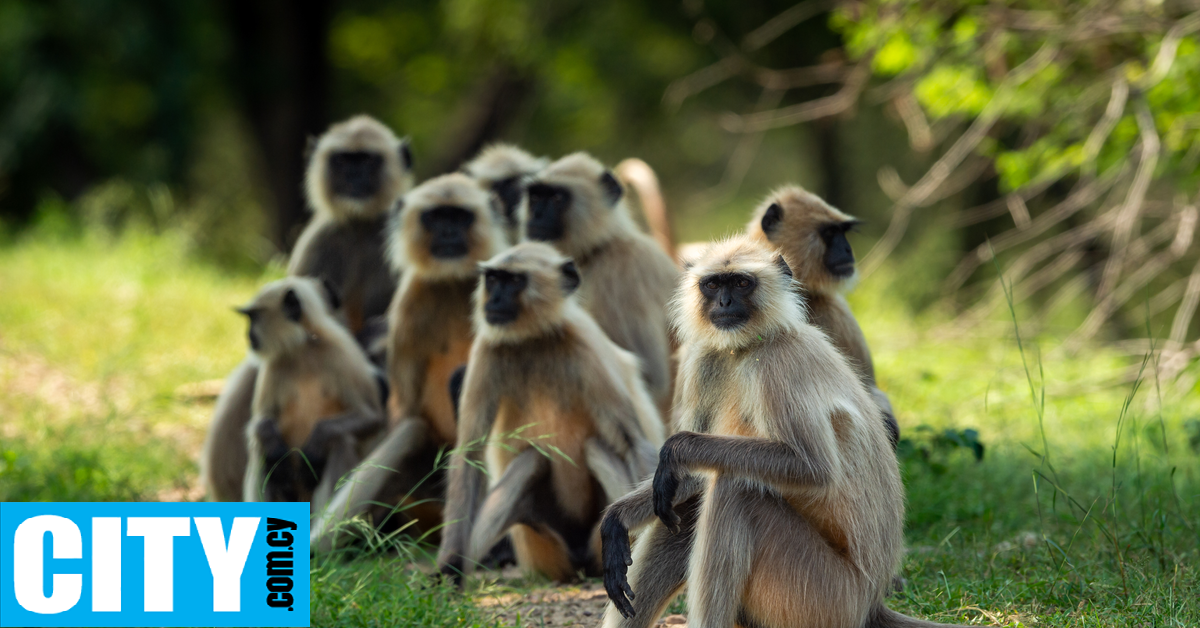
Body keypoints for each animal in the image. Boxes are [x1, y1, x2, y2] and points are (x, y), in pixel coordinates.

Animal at [242, 277, 388, 513]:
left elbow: (371, 417)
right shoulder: (274, 365)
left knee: (339, 441)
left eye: (254, 317)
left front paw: (315, 445)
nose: (249, 335)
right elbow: (261, 421)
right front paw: (275, 451)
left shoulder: (341, 352)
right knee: (260, 446)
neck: (304, 349)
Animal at [434, 243, 662, 583]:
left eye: (514, 281)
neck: (534, 340)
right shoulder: (487, 349)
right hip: (538, 543)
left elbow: (632, 442)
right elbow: (469, 454)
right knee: (531, 458)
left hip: (593, 540)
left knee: (596, 447)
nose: (494, 300)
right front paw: (448, 567)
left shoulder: (584, 347)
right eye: (493, 279)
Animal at [604, 240, 960, 628]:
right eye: (712, 285)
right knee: (689, 501)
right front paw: (616, 519)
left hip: (825, 595)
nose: (723, 303)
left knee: (735, 489)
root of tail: (871, 604)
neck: (748, 347)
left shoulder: (779, 364)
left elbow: (812, 468)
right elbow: (686, 481)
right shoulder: (705, 359)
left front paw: (674, 451)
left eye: (741, 283)